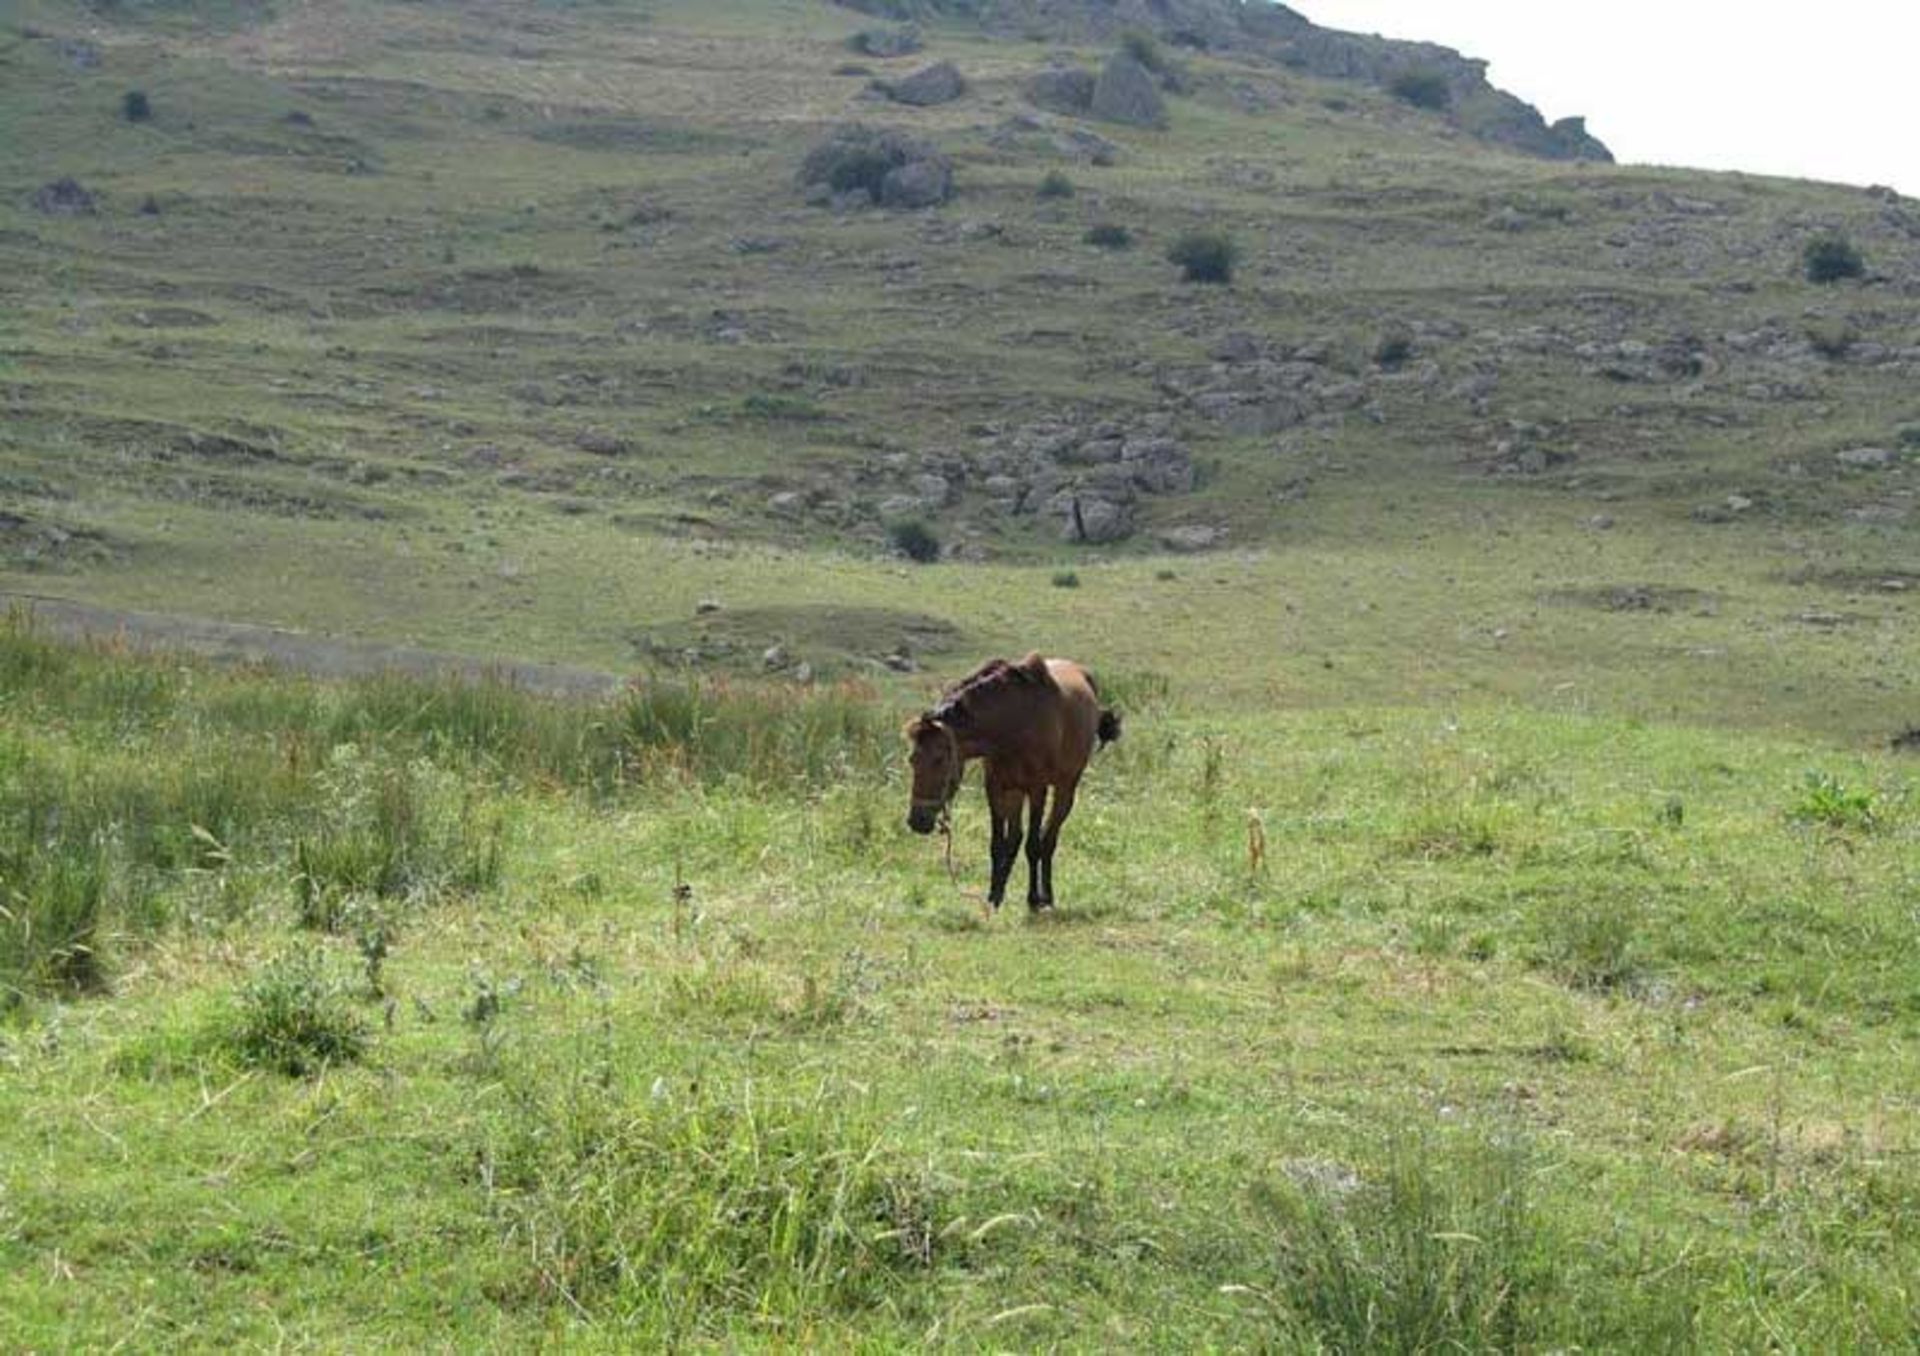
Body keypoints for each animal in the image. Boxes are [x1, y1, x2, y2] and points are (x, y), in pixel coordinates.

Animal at [905, 653, 1121, 911]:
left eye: (939, 759)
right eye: (912, 759)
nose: (917, 821)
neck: (1014, 723)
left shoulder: (1037, 789)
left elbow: (1033, 845)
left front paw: (1033, 899)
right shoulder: (995, 787)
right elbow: (998, 845)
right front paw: (993, 897)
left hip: (1064, 789)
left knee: (1048, 839)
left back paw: (1046, 896)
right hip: (1015, 792)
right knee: (1016, 837)